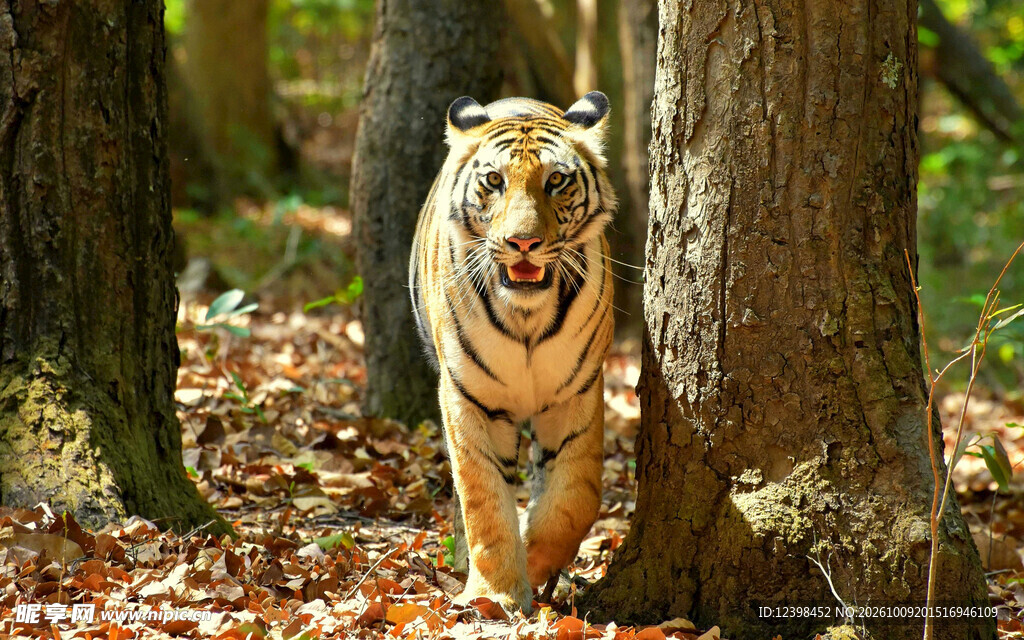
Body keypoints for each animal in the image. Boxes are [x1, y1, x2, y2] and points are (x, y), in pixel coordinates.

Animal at [409, 91, 616, 613]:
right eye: (494, 181)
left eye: (556, 180)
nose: (523, 242)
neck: (526, 318)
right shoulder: (467, 397)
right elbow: (482, 499)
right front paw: (495, 594)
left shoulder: (577, 393)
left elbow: (575, 498)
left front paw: (538, 562)